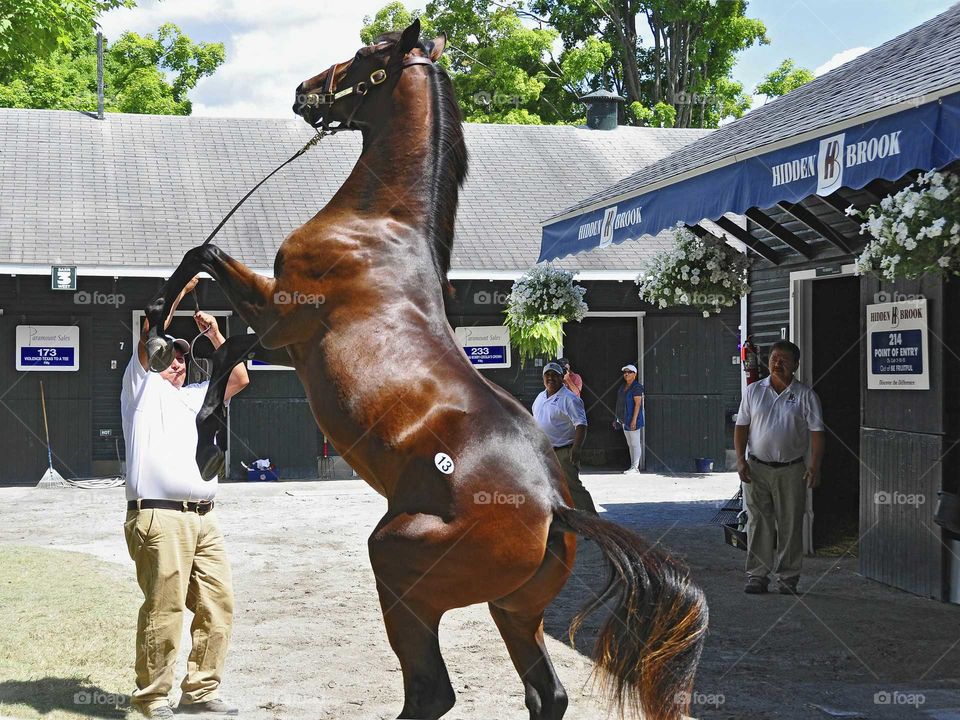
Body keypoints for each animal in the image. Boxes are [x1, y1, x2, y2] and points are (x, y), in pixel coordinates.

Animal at [144, 19, 712, 716]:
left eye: (366, 54)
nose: (305, 90)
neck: (376, 224)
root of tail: (557, 505)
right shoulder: (283, 337)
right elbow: (222, 334)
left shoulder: (284, 314)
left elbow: (207, 274)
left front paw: (175, 370)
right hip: (513, 612)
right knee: (544, 694)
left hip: (398, 566)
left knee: (432, 692)